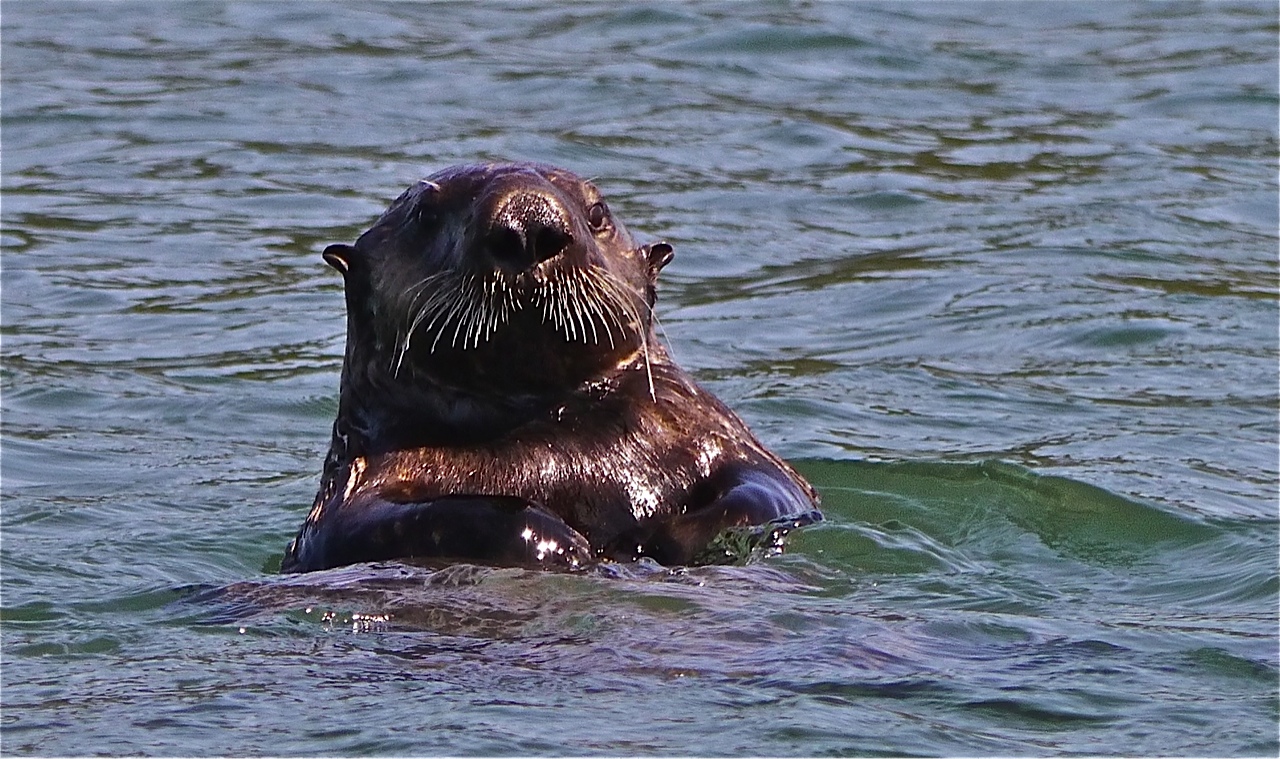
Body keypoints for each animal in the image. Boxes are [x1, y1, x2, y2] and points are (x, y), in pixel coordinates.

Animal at [280, 162, 820, 573]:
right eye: (424, 214)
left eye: (598, 212)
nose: (528, 221)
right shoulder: (353, 495)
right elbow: (387, 523)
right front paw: (562, 543)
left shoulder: (709, 428)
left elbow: (773, 487)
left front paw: (668, 536)